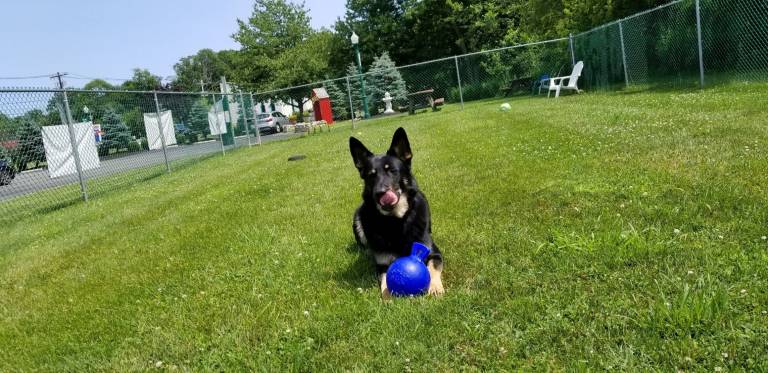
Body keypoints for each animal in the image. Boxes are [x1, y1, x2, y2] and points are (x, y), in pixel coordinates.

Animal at [350, 127, 444, 296]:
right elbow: (385, 280)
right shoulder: (382, 264)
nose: (380, 193)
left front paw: (434, 287)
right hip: (357, 217)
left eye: (392, 171)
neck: (396, 221)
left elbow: (433, 267)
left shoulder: (434, 253)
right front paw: (387, 295)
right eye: (371, 175)